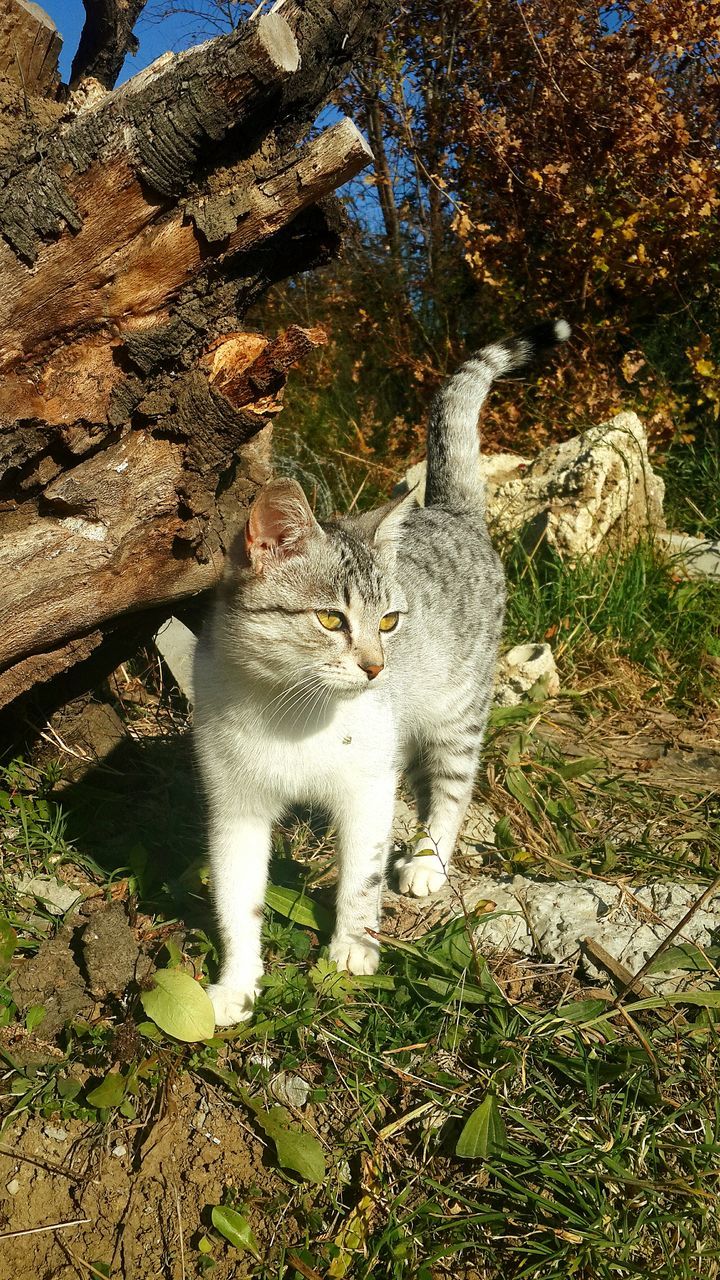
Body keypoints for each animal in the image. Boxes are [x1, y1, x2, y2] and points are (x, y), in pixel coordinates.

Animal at [193, 322, 568, 1029]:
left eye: (390, 621)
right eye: (330, 618)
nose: (376, 666)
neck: (291, 712)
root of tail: (450, 511)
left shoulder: (367, 789)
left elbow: (359, 879)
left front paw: (354, 950)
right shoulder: (236, 808)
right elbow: (237, 901)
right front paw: (237, 984)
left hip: (455, 712)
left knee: (450, 787)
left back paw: (426, 862)